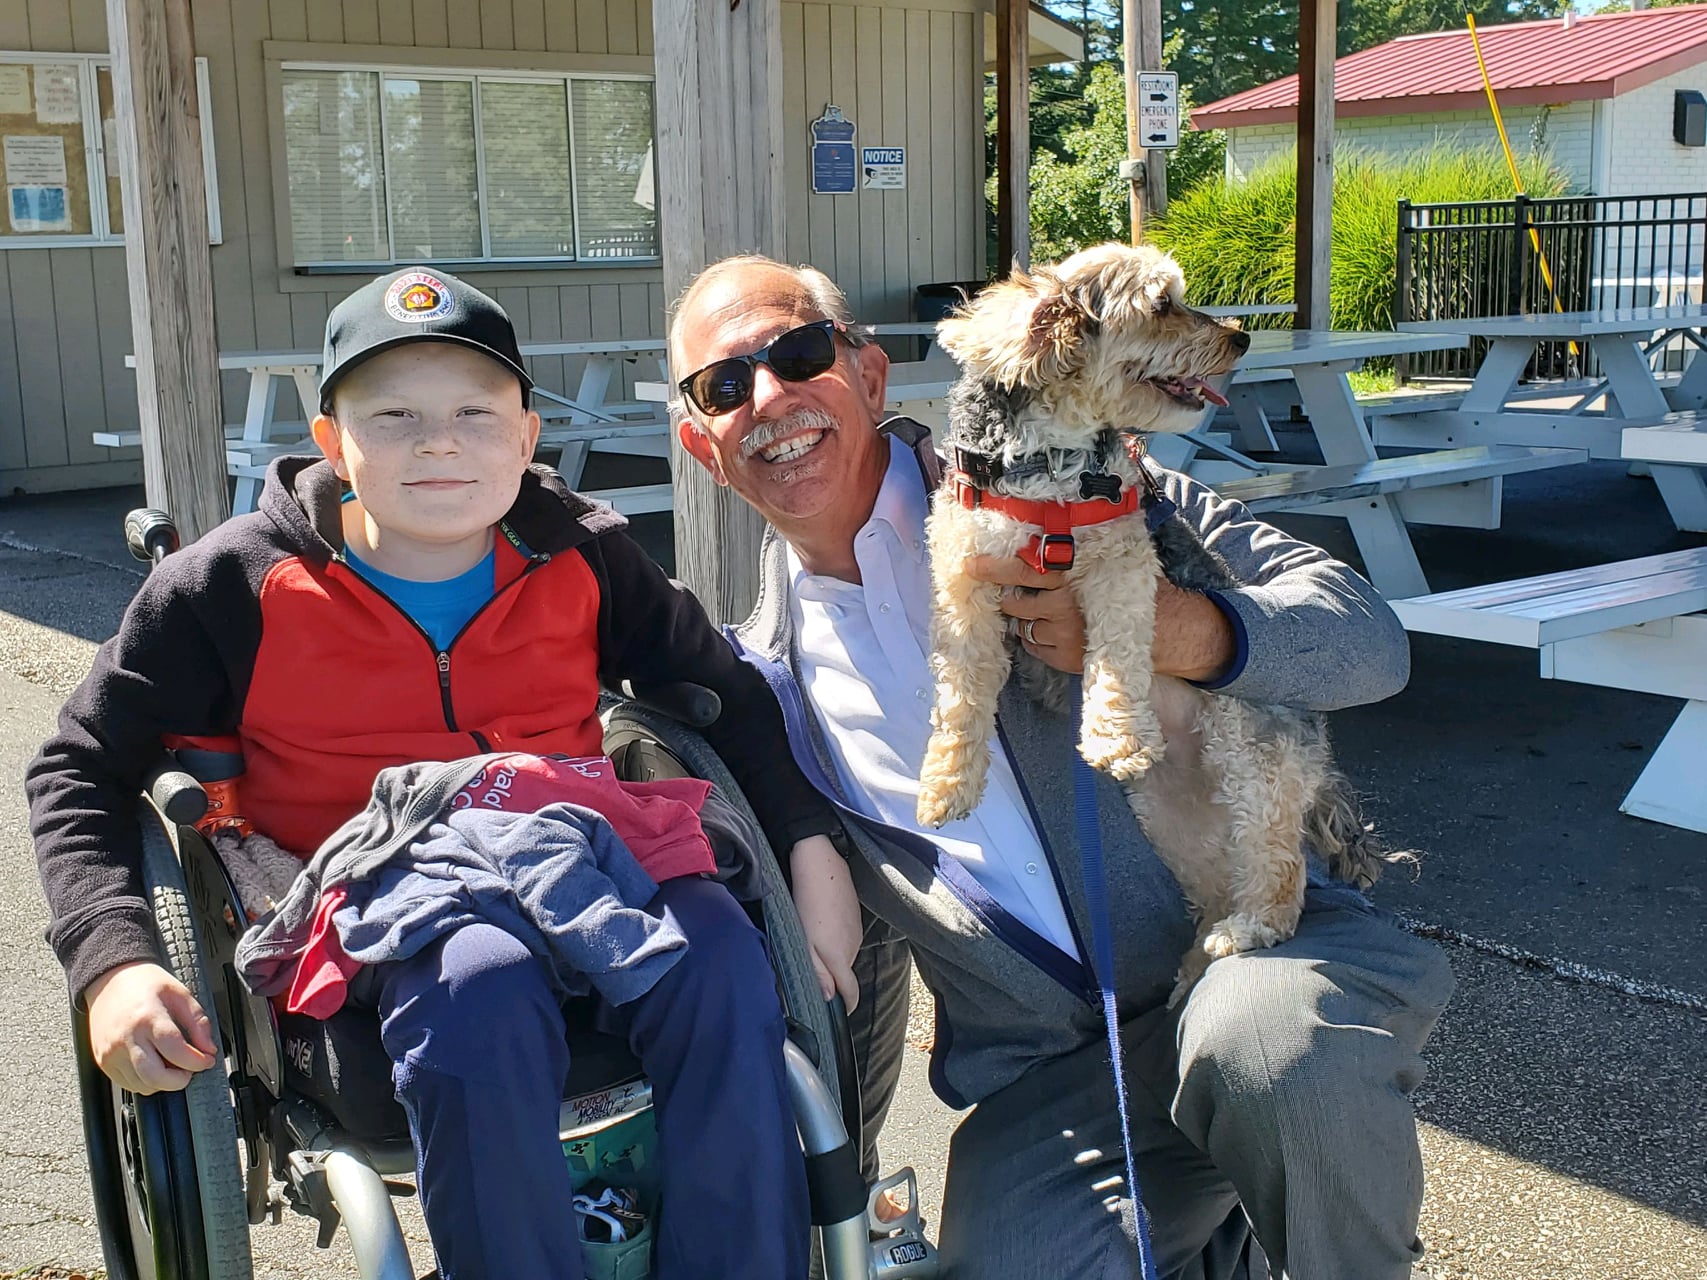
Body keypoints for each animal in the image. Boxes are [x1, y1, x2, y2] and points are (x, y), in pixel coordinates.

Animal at [921, 240, 1386, 1003]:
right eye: (1162, 304)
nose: (1242, 337)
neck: (1048, 462)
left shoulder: (1120, 563)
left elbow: (1114, 651)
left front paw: (1115, 737)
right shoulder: (963, 583)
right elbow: (960, 695)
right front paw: (945, 784)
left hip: (1251, 755)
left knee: (1281, 871)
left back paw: (1247, 932)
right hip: (1174, 820)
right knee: (1220, 881)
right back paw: (1196, 962)